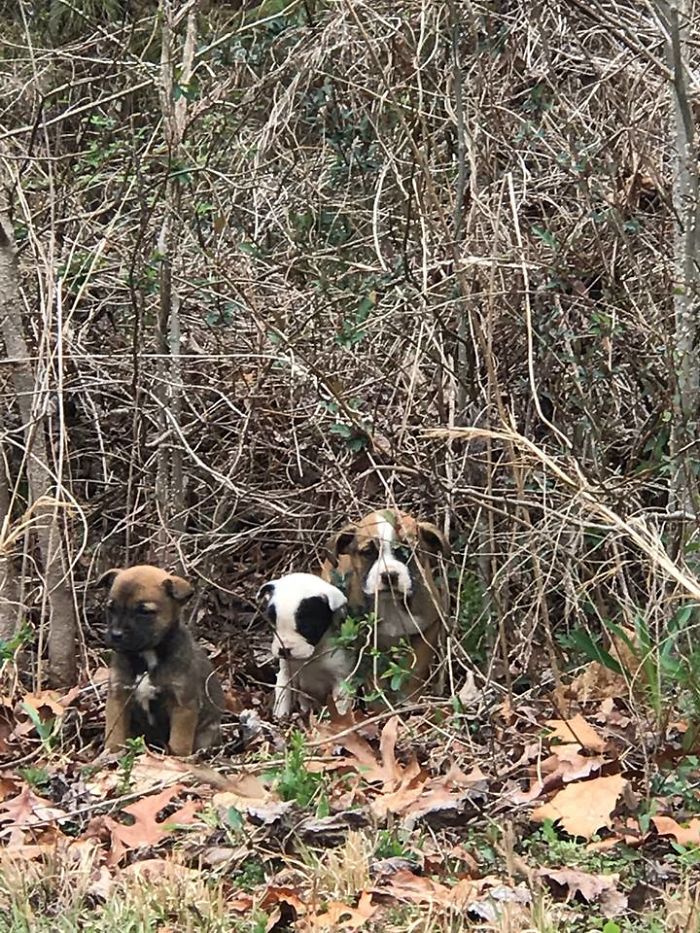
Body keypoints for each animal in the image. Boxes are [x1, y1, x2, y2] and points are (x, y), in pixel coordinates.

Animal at [97, 560, 223, 756]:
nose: (116, 635)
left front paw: (178, 759)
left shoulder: (183, 705)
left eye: (144, 612)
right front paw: (112, 754)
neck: (146, 656)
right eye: (111, 608)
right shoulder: (118, 696)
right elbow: (115, 735)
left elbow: (179, 744)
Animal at [258, 572, 352, 716]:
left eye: (306, 627)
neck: (313, 654)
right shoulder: (286, 675)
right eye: (273, 625)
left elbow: (340, 706)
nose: (284, 649)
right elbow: (283, 697)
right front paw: (280, 717)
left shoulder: (341, 680)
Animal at [322, 510, 448, 700]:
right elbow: (373, 679)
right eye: (368, 552)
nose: (389, 575)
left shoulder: (429, 628)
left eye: (407, 550)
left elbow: (417, 667)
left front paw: (411, 697)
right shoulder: (364, 642)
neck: (390, 604)